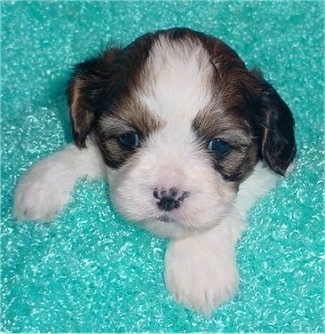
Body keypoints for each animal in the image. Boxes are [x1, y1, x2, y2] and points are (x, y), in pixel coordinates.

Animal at [13, 27, 294, 314]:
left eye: (219, 145)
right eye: (128, 138)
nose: (168, 196)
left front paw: (199, 260)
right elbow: (87, 149)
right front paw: (42, 183)